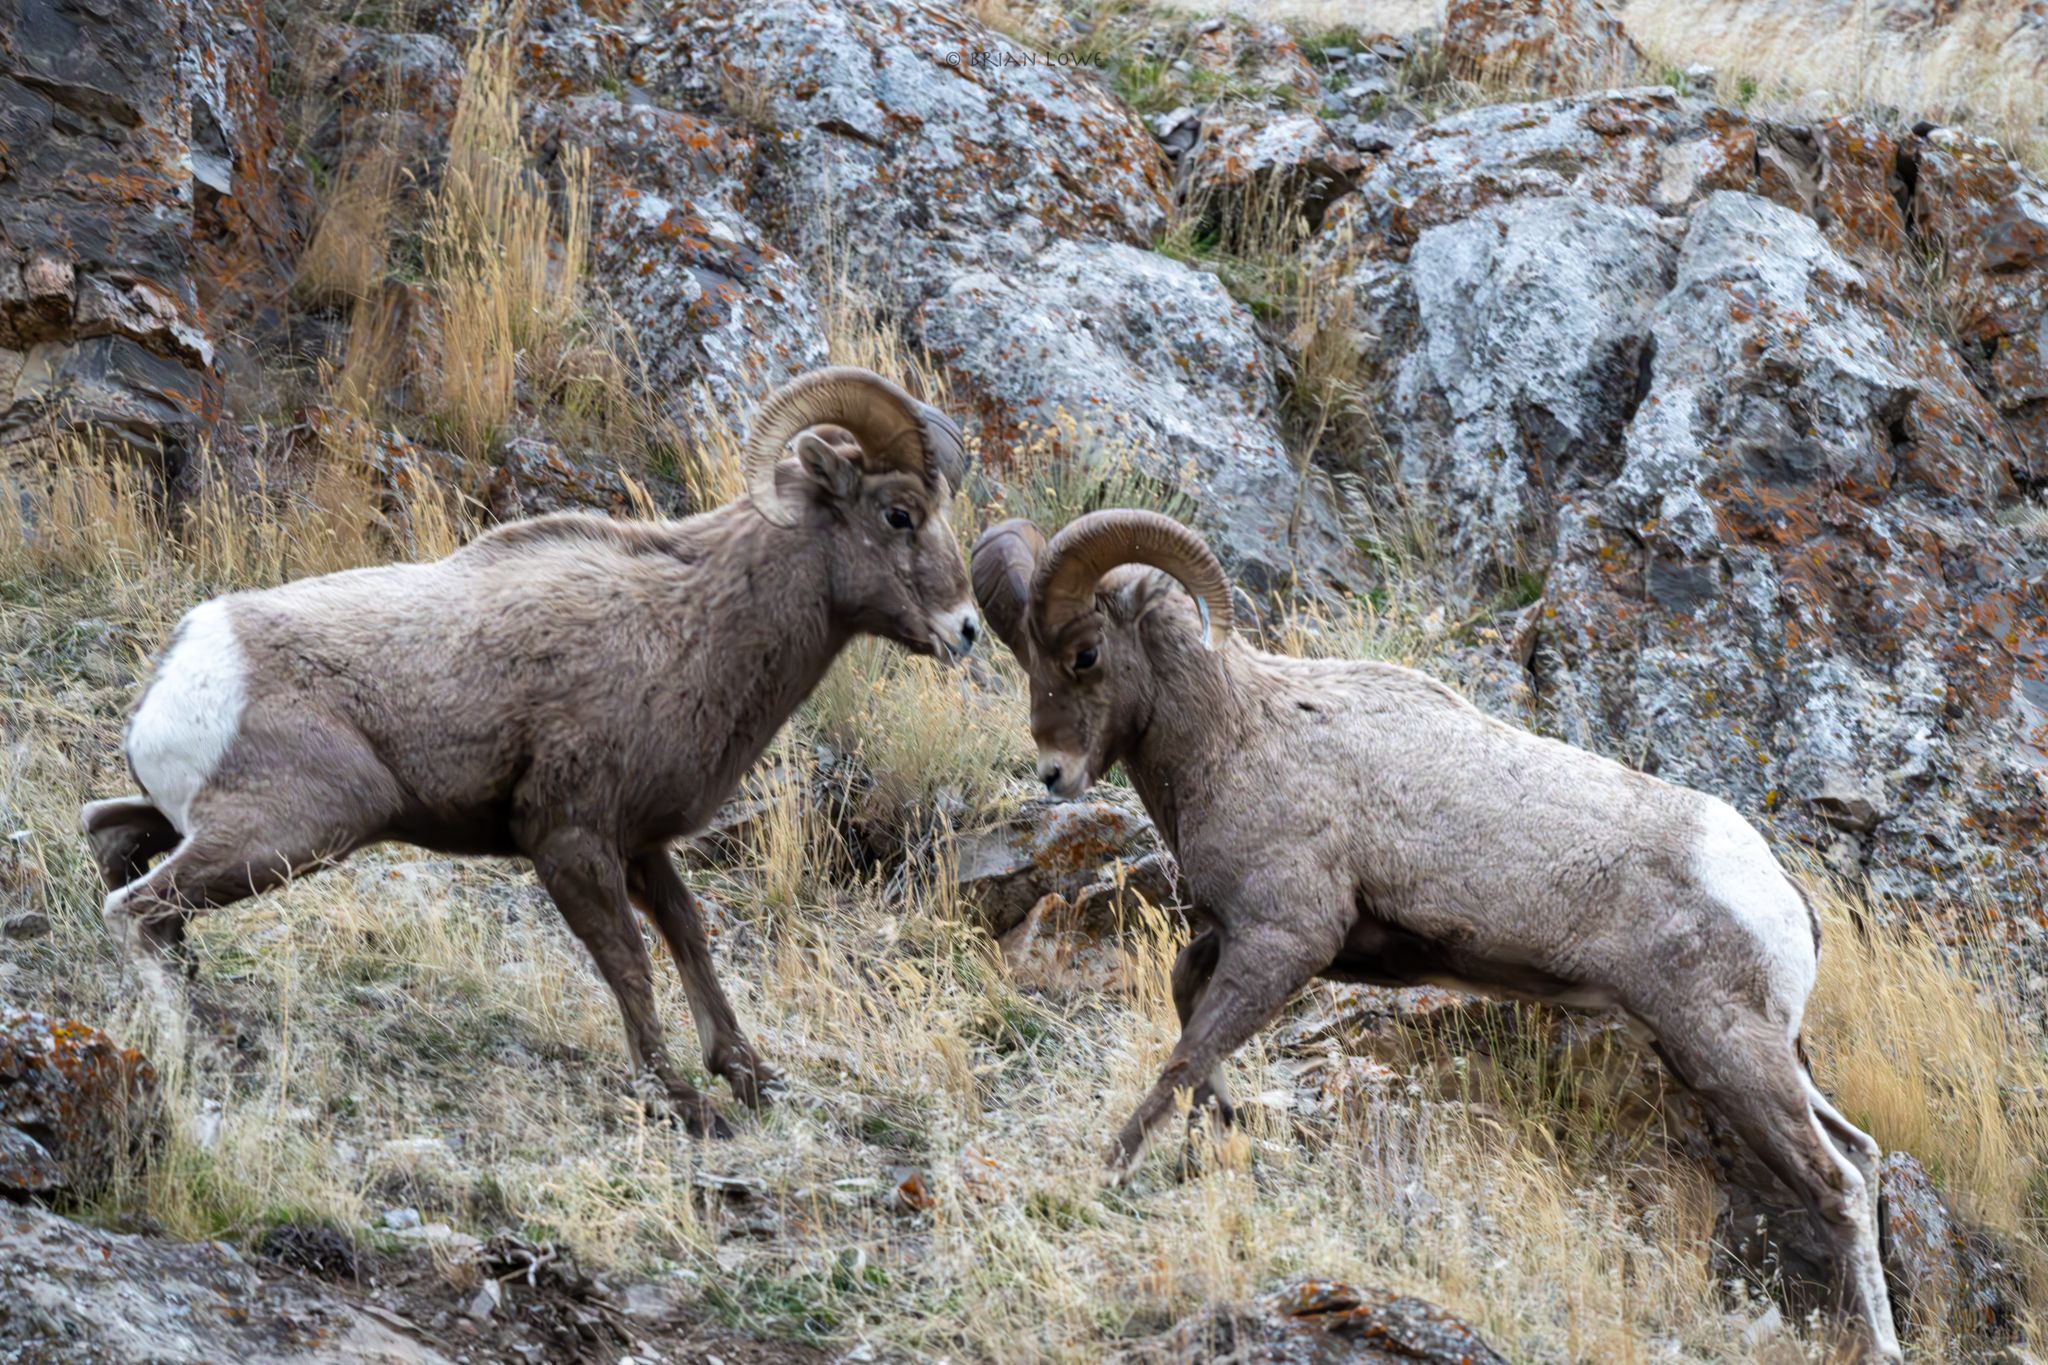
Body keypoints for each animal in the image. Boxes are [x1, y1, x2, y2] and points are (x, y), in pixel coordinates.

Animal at [81, 366, 981, 1139]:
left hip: (219, 822)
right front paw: (683, 1102)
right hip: (308, 825)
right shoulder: (571, 841)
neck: (686, 627)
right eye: (899, 514)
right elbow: (629, 962)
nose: (967, 630)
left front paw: (749, 1075)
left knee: (111, 834)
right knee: (135, 907)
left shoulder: (640, 844)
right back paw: (189, 1038)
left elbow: (689, 939)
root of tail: (189, 659)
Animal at [971, 508, 1901, 1361]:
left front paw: (1112, 1168)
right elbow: (1186, 1008)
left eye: (1085, 654)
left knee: (1838, 1183)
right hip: (1740, 1050)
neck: (1238, 733)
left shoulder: (1285, 939)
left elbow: (1185, 1053)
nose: (1053, 773)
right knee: (1861, 1154)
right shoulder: (1240, 936)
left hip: (1726, 1051)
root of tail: (1784, 898)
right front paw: (1218, 1130)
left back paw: (1881, 1346)